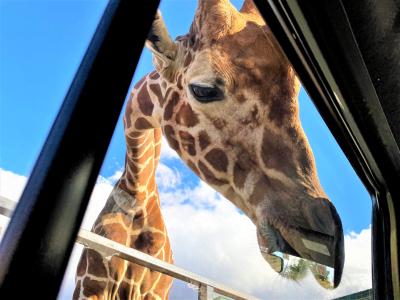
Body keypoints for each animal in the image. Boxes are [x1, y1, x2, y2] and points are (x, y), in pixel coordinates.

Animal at [74, 1, 344, 298]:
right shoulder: (92, 284)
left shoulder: (152, 291)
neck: (137, 193)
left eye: (297, 94)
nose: (326, 241)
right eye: (203, 90)